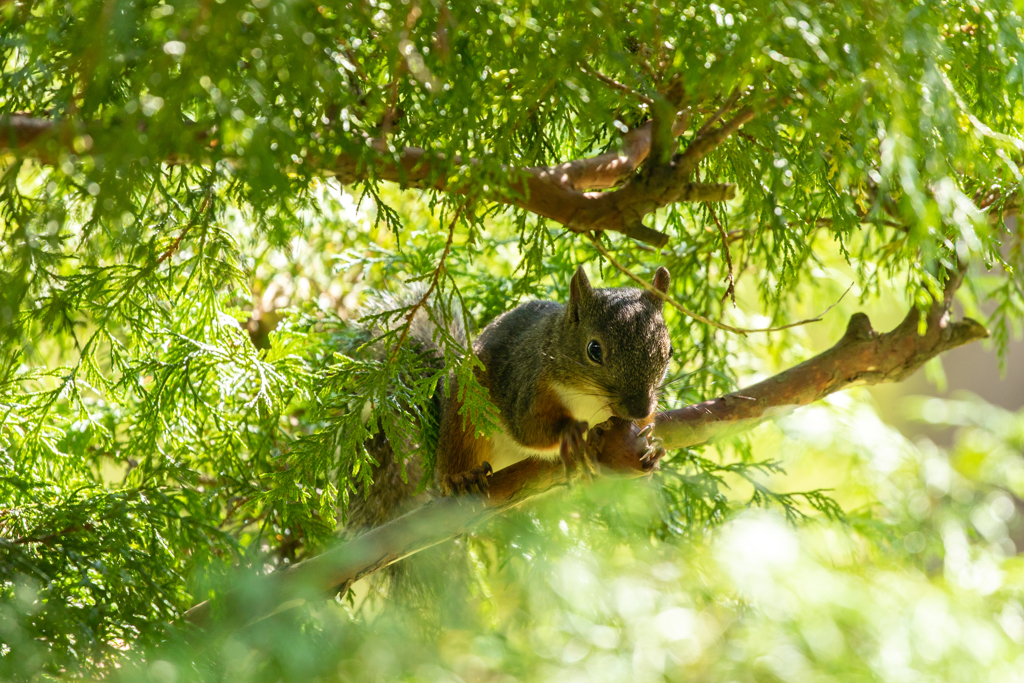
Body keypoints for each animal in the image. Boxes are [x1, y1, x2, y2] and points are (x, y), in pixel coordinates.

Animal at [436, 264, 675, 493]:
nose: (639, 410)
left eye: (669, 352)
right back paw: (463, 477)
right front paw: (569, 432)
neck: (589, 397)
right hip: (464, 411)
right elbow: (528, 428)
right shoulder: (527, 384)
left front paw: (654, 449)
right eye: (594, 350)